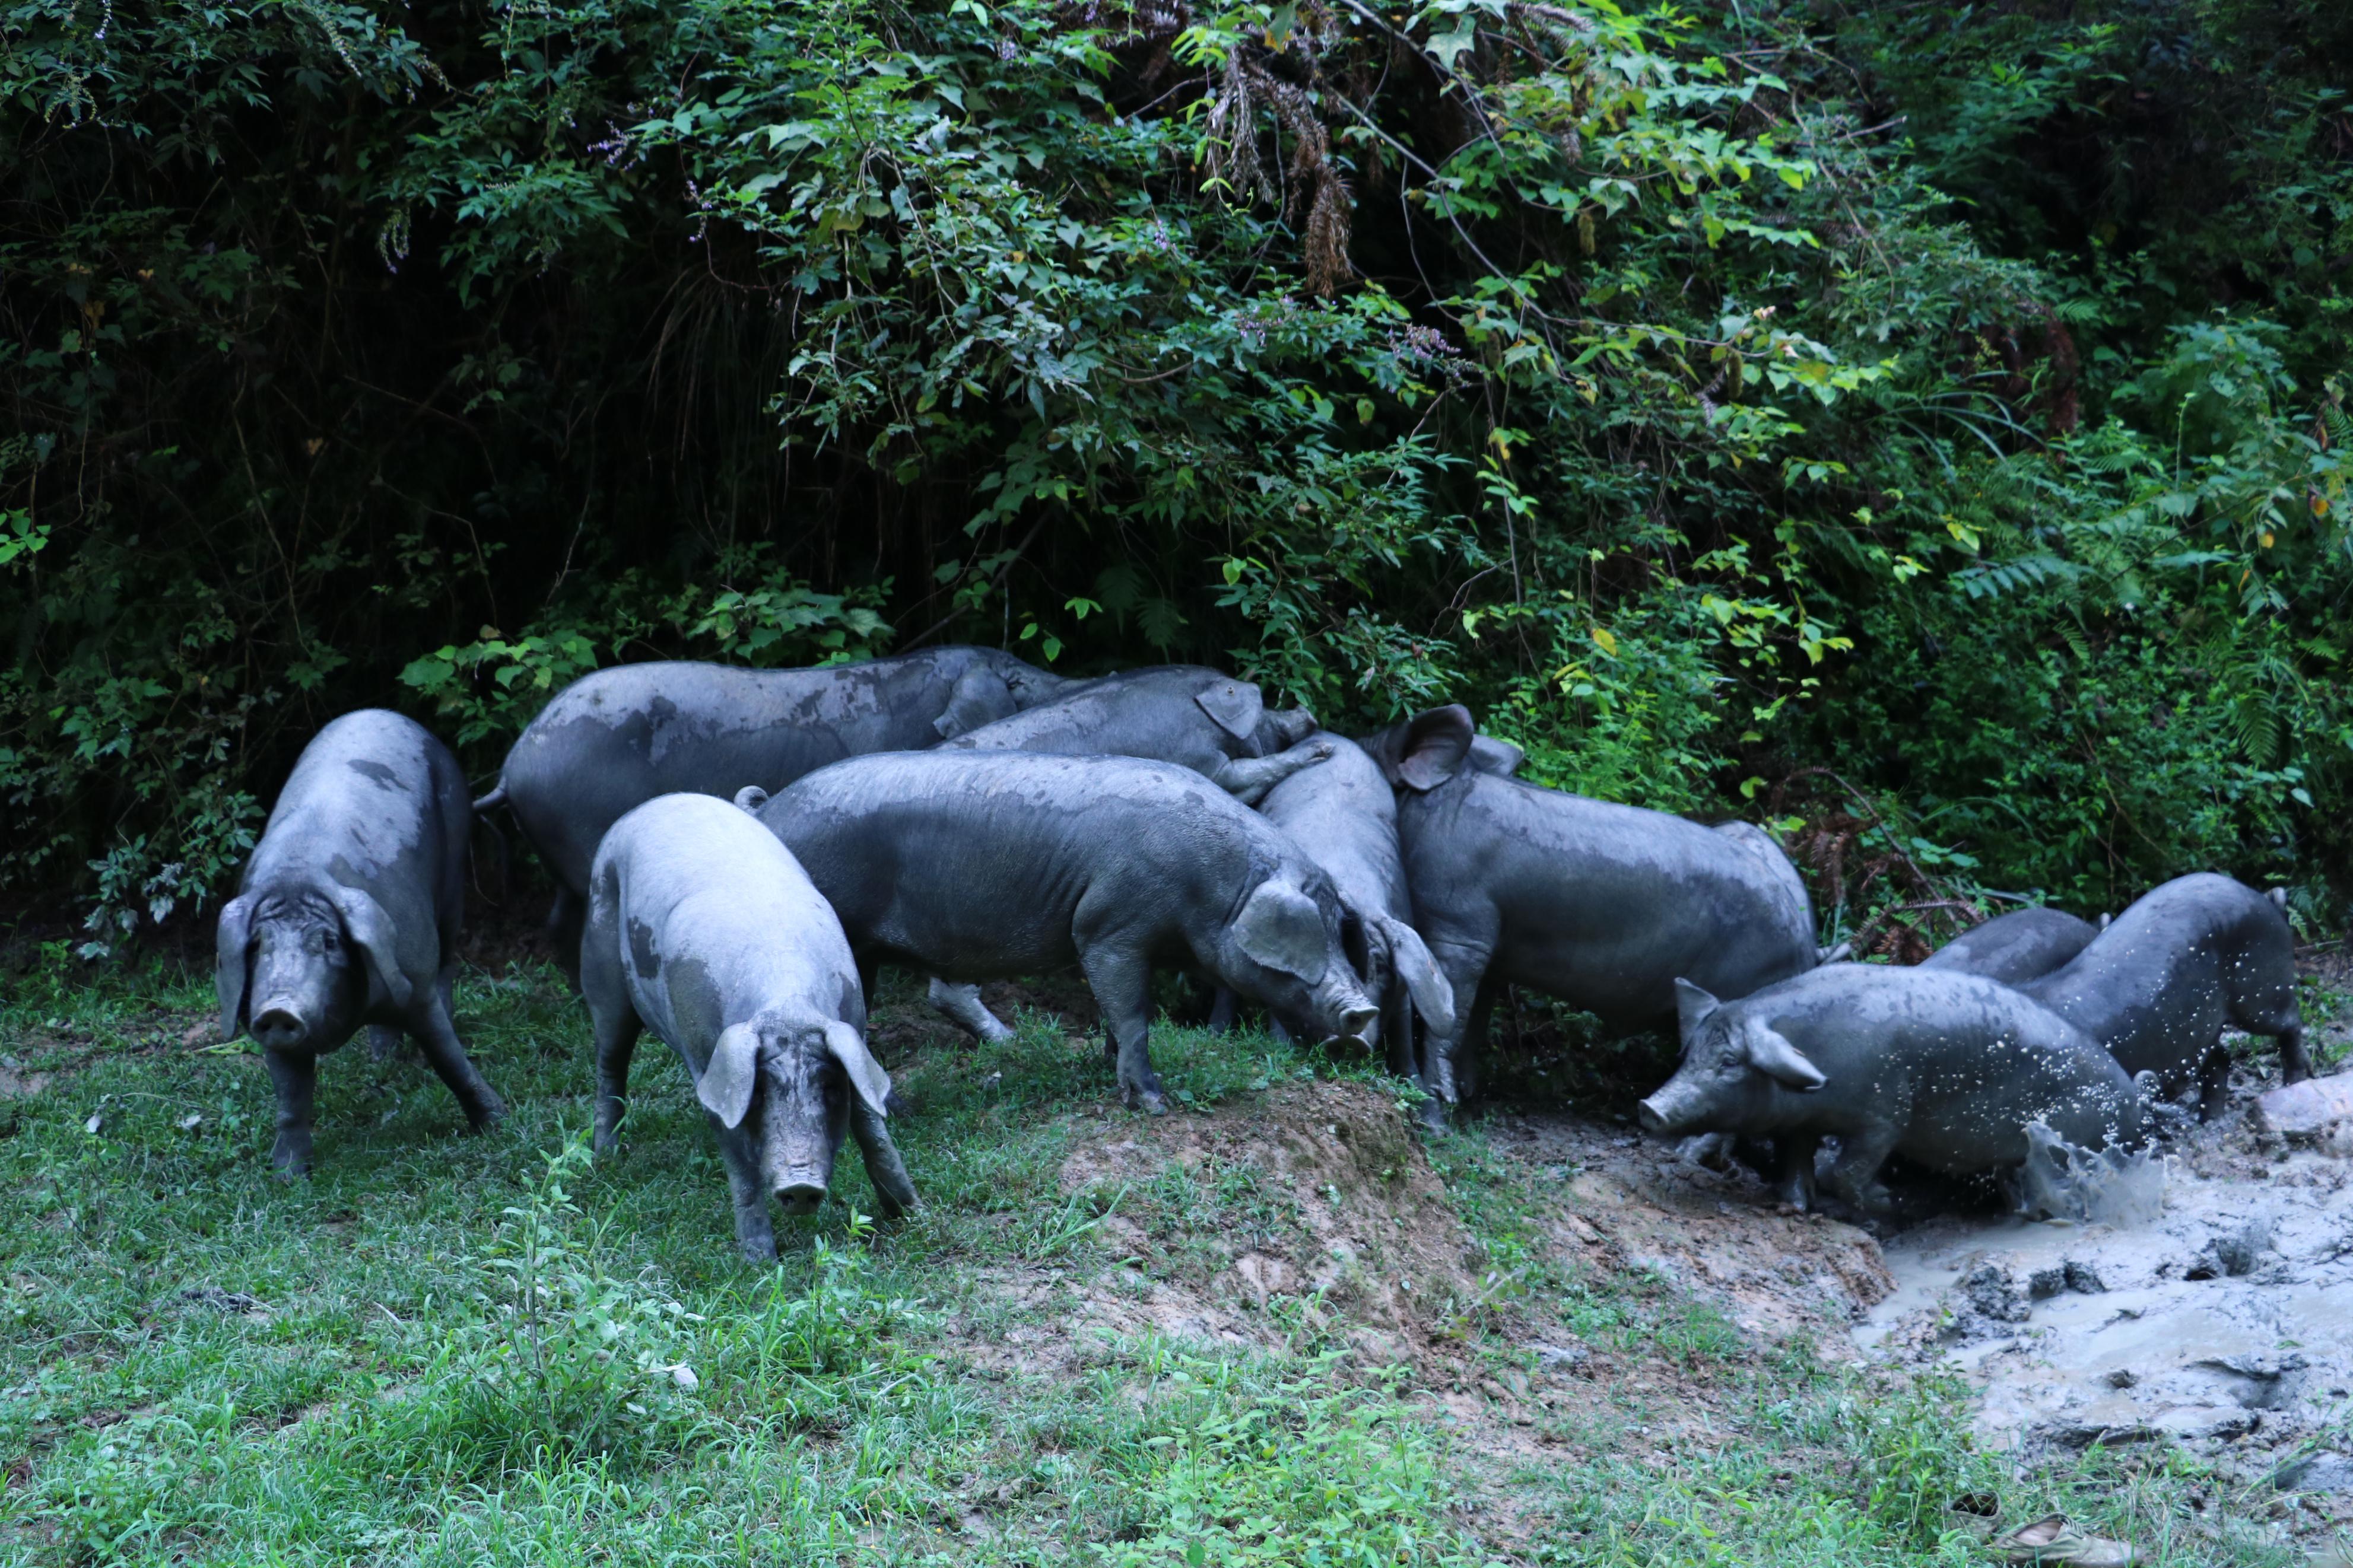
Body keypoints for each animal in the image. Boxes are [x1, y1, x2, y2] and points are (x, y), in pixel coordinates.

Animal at [212, 710, 506, 1175]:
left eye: (330, 940)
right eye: (258, 944)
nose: (280, 1007)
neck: (298, 878)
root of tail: (385, 713)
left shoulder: (415, 984)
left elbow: (449, 1057)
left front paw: (499, 1124)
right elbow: (290, 1096)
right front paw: (288, 1175)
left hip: (454, 873)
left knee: (449, 960)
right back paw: (382, 1060)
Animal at [583, 790, 913, 1260]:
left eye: (829, 1088)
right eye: (758, 1091)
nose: (801, 1184)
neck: (786, 1005)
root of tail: (663, 800)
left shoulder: (854, 1035)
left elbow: (872, 1128)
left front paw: (912, 1213)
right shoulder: (708, 1066)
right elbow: (740, 1166)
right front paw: (759, 1261)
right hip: (599, 960)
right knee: (610, 1061)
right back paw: (606, 1159)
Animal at [739, 752, 1374, 1109]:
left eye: (1339, 935)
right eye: (1307, 947)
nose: (1365, 1012)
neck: (1215, 889)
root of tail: (765, 813)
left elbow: (1116, 1014)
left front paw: (1103, 1070)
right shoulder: (1110, 926)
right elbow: (1133, 1011)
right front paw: (1154, 1104)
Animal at [1637, 968, 2155, 1213]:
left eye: (1729, 1063)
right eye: (1690, 1054)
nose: (1648, 1106)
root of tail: (2132, 1101)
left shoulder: (1884, 1114)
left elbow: (1845, 1171)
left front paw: (1888, 1202)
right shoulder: (1803, 1120)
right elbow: (1796, 1160)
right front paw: (1795, 1205)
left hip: (2072, 1141)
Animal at [2014, 870, 2306, 1114]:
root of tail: (2266, 899)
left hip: (2261, 994)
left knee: (2291, 1024)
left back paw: (2294, 1082)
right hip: (2203, 1028)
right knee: (2220, 1060)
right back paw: (2208, 1120)